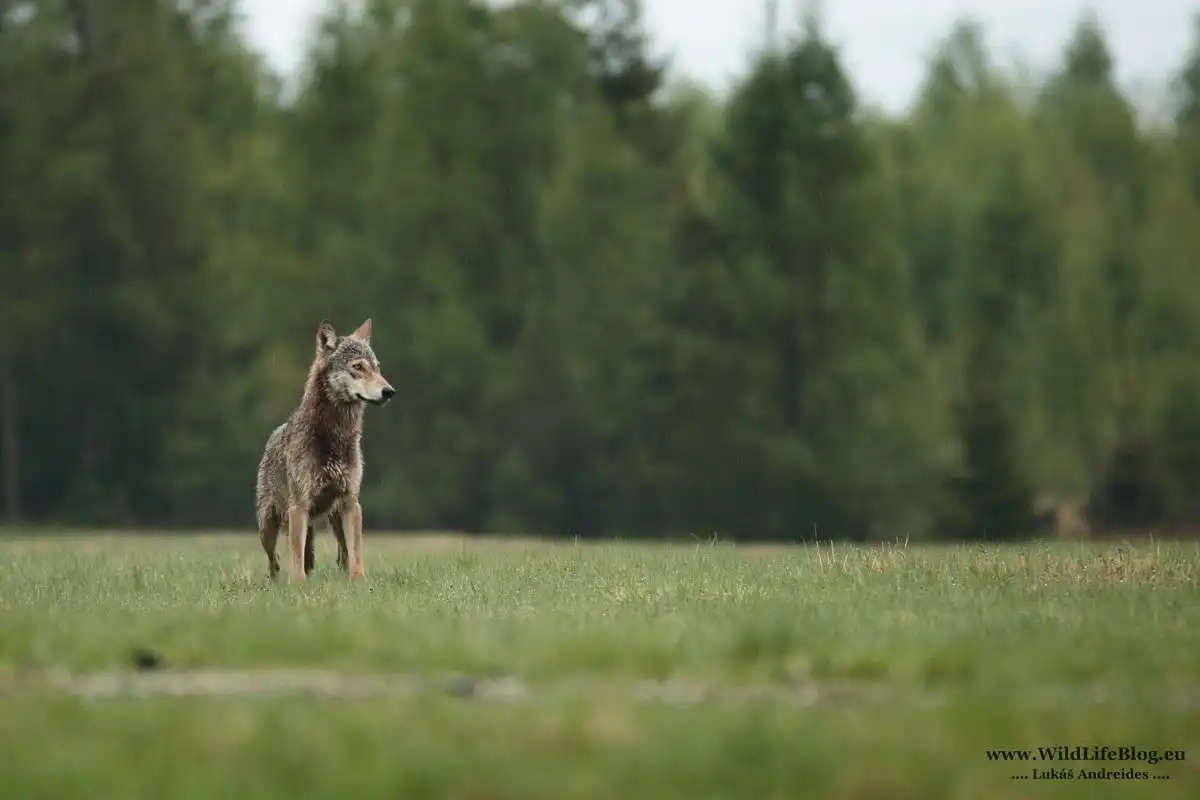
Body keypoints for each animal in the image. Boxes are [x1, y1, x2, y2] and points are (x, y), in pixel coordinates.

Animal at [255, 318, 394, 582]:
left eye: (377, 368)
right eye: (358, 367)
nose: (389, 391)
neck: (335, 437)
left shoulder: (351, 503)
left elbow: (357, 552)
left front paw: (359, 581)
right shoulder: (299, 506)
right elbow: (296, 556)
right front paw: (298, 584)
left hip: (335, 519)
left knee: (342, 555)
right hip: (268, 526)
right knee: (273, 561)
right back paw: (276, 583)